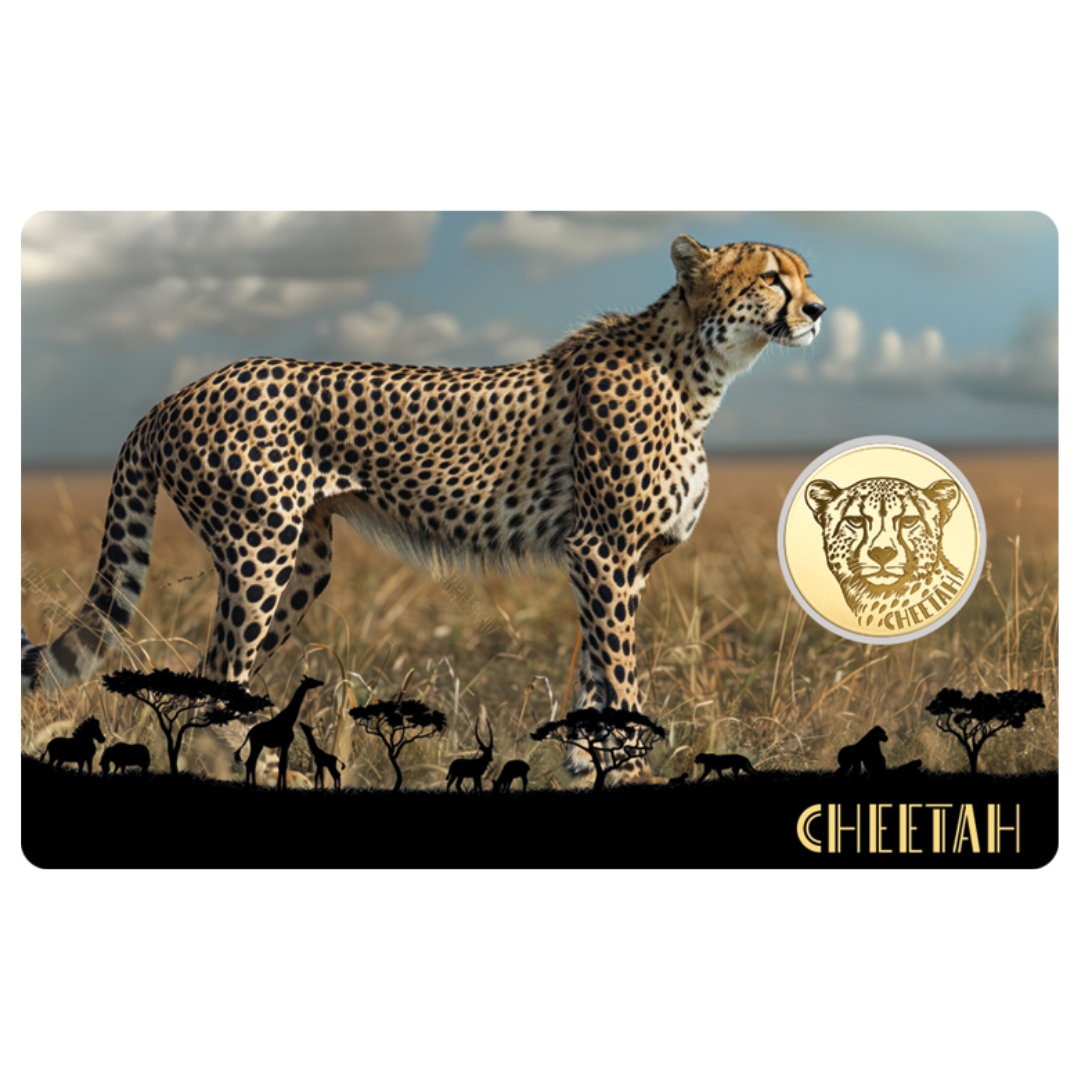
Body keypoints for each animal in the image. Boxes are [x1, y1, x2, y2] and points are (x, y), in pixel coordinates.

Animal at [20, 234, 825, 782]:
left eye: (806, 275)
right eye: (771, 277)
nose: (819, 310)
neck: (701, 369)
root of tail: (178, 393)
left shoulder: (618, 562)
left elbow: (599, 672)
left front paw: (586, 767)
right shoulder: (604, 551)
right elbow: (621, 677)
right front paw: (626, 770)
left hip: (302, 558)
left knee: (218, 678)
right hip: (260, 550)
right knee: (215, 677)